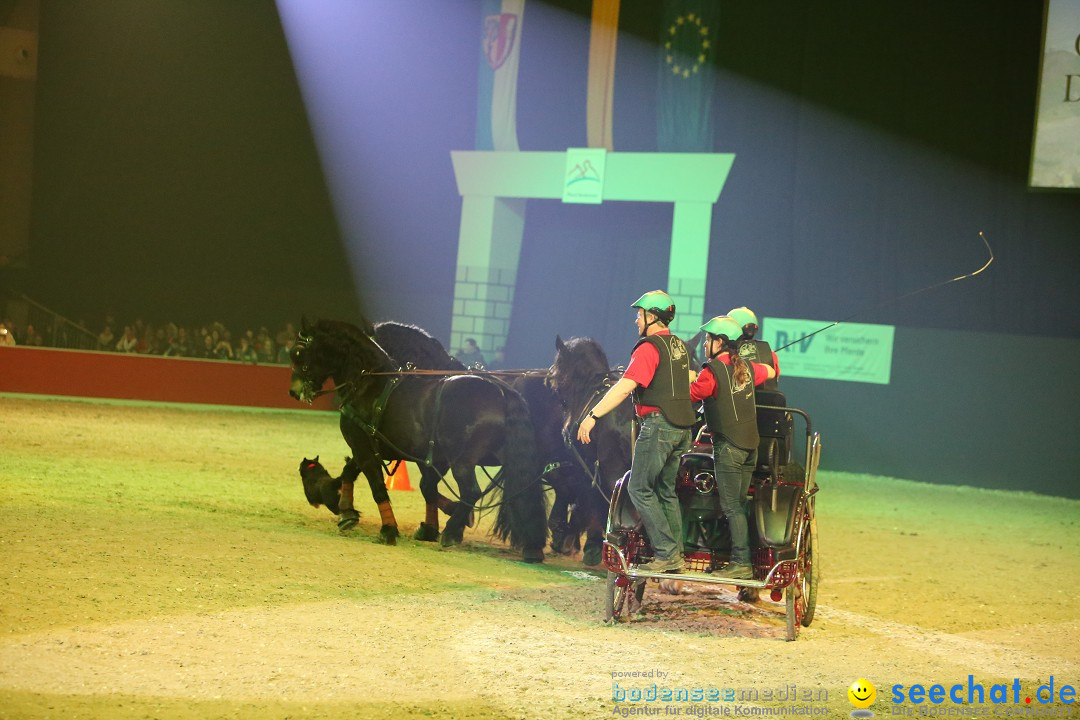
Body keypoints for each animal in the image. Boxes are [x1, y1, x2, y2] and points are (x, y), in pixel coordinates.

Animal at [289, 319, 548, 561]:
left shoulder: (364, 447)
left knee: (471, 491)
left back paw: (451, 533)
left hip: (463, 461)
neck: (368, 383)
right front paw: (347, 513)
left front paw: (388, 529)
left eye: (300, 352)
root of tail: (502, 392)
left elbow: (378, 488)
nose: (294, 391)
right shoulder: (384, 450)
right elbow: (354, 473)